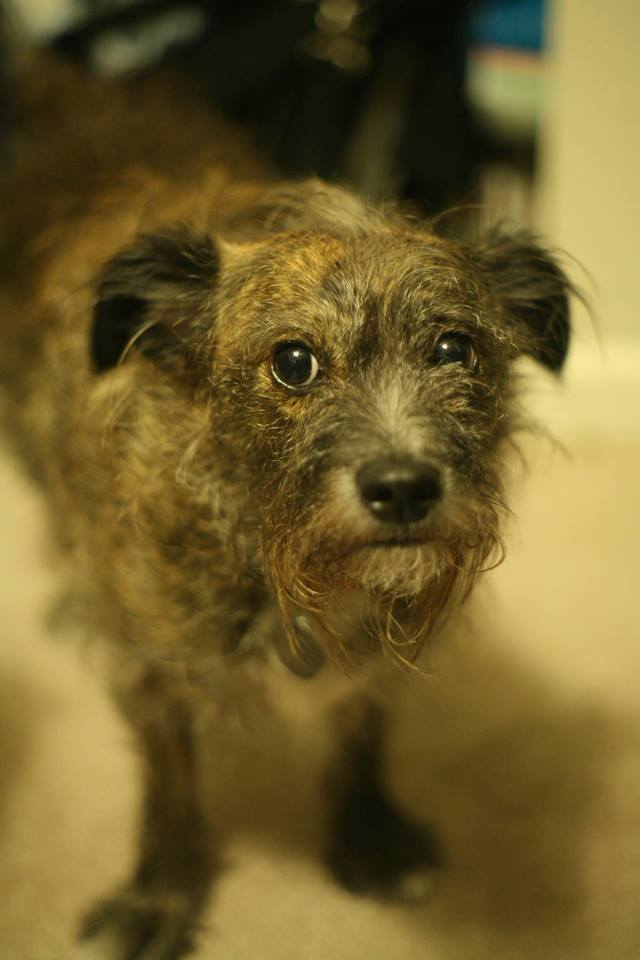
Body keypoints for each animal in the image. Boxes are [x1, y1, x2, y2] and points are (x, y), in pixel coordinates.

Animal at [0, 56, 572, 956]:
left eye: (456, 349)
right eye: (293, 363)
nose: (404, 489)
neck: (265, 546)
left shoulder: (377, 651)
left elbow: (361, 733)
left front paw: (368, 837)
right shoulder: (155, 670)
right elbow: (168, 785)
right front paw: (162, 895)